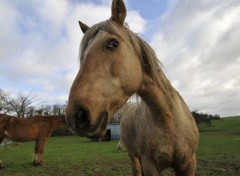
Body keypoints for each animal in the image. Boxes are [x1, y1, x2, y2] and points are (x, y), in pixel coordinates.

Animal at [65, 0, 199, 175]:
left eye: (113, 43)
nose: (75, 115)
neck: (170, 121)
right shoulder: (150, 166)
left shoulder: (189, 164)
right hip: (133, 155)